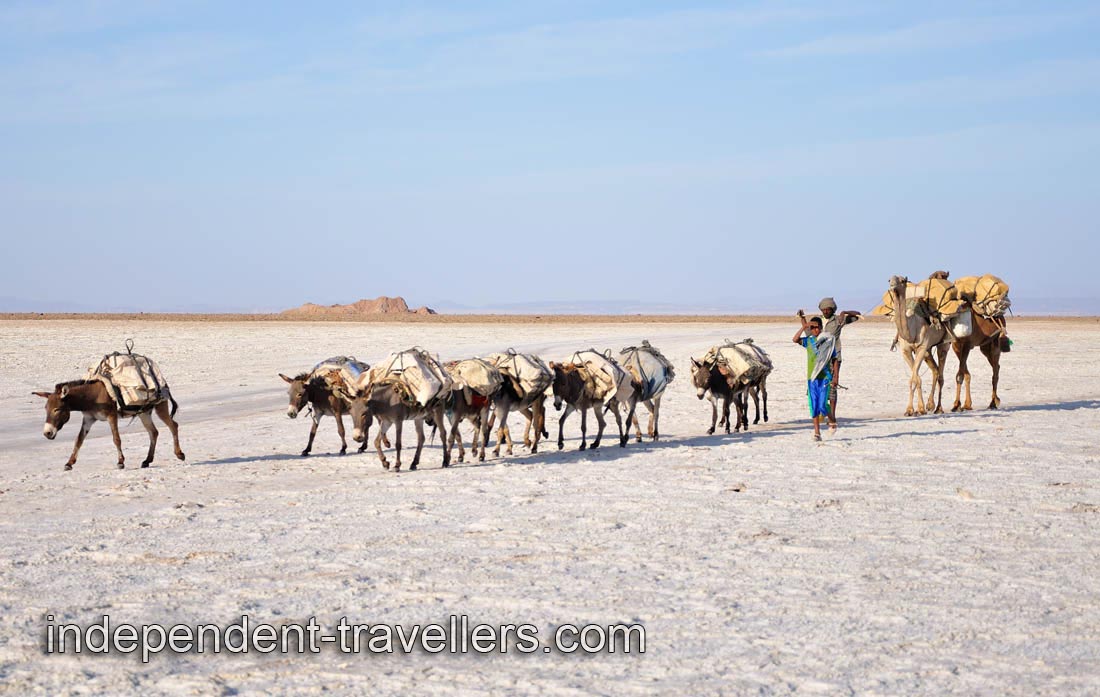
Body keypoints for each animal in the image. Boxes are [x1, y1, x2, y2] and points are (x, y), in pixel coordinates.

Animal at [888, 275, 949, 416]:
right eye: (889, 280)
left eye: (902, 281)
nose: (892, 286)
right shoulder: (906, 350)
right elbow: (916, 378)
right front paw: (915, 409)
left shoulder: (921, 347)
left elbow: (914, 378)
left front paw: (915, 409)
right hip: (928, 351)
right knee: (935, 370)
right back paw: (930, 405)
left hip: (943, 344)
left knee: (941, 374)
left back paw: (939, 408)